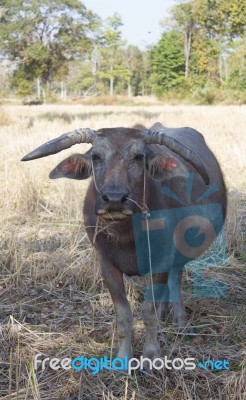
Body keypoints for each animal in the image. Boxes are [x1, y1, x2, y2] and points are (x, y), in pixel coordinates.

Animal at [21, 123, 227, 370]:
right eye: (96, 156)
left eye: (139, 156)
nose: (114, 199)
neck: (127, 236)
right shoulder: (107, 265)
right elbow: (123, 315)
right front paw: (123, 358)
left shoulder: (159, 261)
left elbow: (148, 312)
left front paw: (151, 355)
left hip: (180, 251)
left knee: (175, 279)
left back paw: (180, 320)